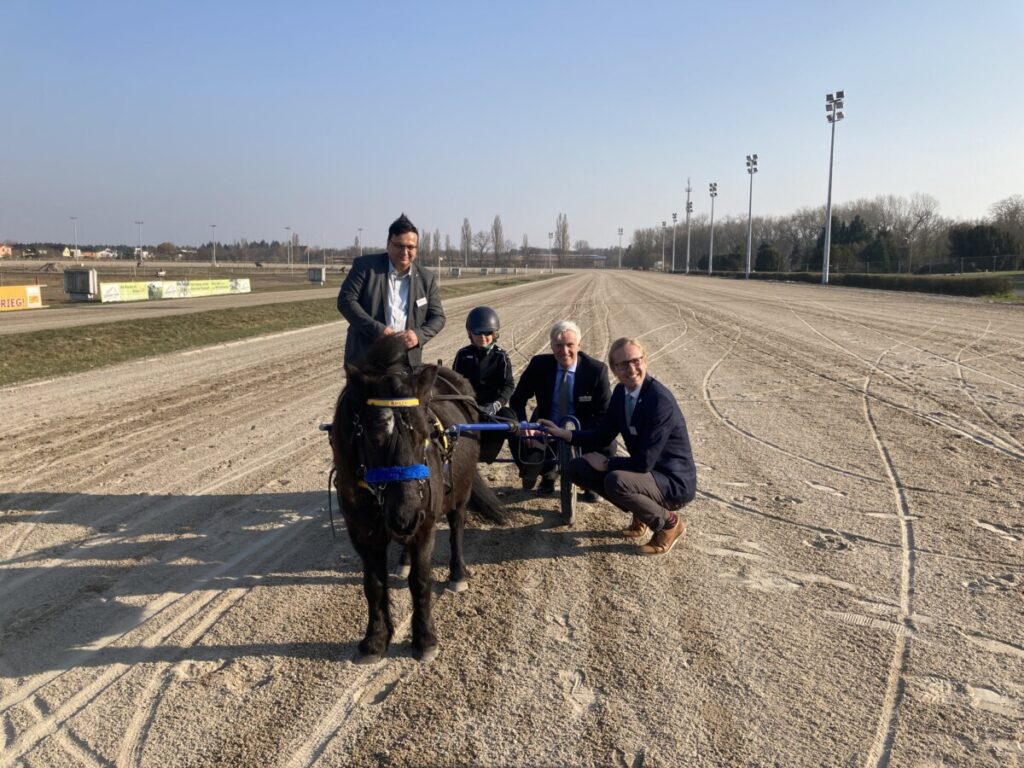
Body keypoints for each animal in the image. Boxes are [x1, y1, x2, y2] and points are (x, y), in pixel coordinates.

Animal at [327, 335, 503, 663]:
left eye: (424, 435)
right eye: (373, 437)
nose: (406, 514)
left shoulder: (424, 527)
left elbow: (421, 582)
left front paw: (425, 639)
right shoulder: (362, 533)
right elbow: (373, 584)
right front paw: (375, 639)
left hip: (459, 494)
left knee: (457, 528)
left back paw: (457, 572)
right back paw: (404, 559)